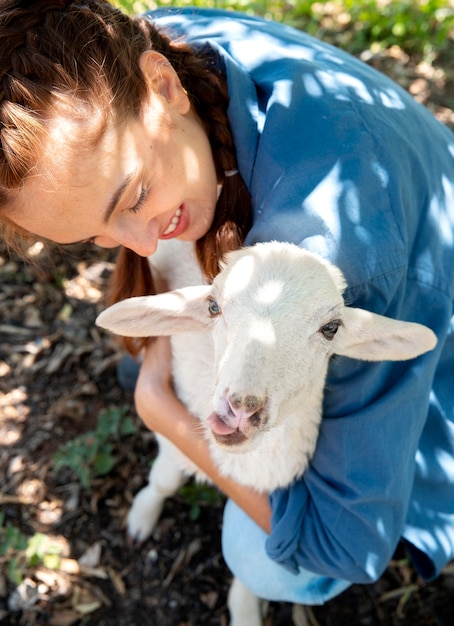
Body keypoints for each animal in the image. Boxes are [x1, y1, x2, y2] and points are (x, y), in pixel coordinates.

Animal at [95, 239, 436, 624]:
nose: (242, 407)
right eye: (213, 307)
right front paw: (141, 517)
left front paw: (245, 609)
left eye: (331, 328)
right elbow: (165, 480)